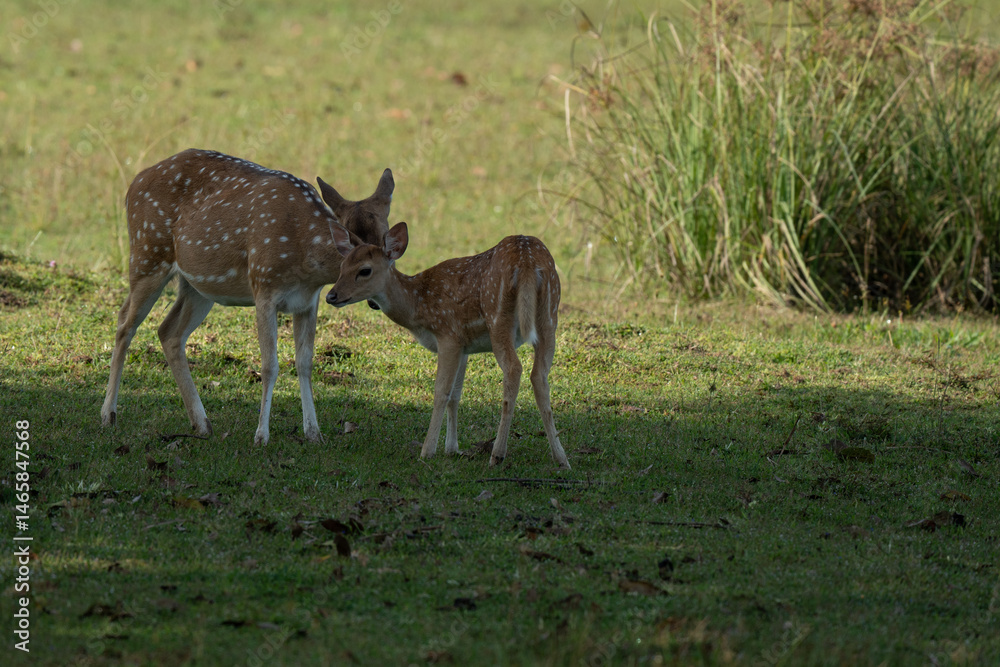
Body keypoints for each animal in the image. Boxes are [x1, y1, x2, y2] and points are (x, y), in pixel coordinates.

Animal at [100, 148, 393, 445]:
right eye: (349, 243)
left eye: (385, 235)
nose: (376, 297)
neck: (305, 260)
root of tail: (133, 184)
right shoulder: (263, 287)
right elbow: (269, 365)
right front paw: (261, 436)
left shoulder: (308, 302)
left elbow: (304, 363)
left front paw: (313, 433)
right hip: (147, 254)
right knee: (124, 323)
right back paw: (108, 415)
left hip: (198, 286)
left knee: (168, 332)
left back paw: (202, 423)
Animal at [325, 221, 570, 469]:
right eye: (342, 265)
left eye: (365, 270)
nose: (331, 296)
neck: (418, 306)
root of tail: (527, 262)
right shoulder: (464, 346)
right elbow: (456, 394)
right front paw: (452, 448)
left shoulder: (448, 335)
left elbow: (441, 392)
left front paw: (428, 451)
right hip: (550, 314)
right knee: (539, 376)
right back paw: (561, 458)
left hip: (497, 316)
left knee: (514, 369)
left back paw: (497, 455)